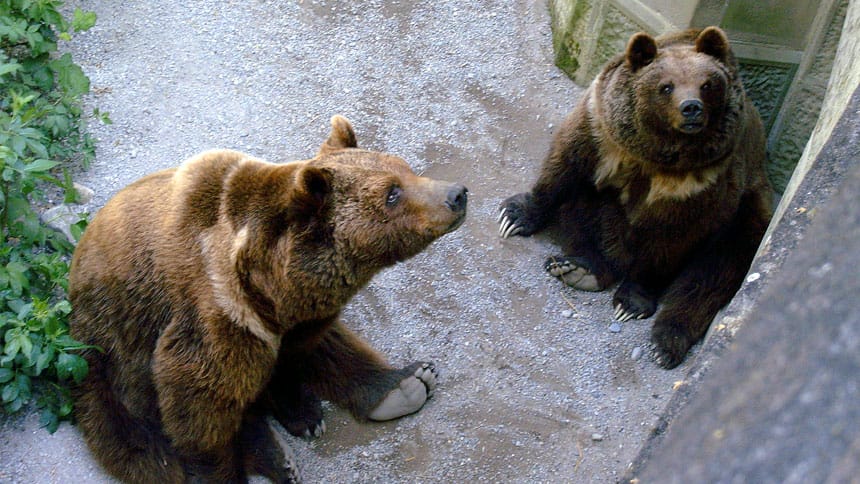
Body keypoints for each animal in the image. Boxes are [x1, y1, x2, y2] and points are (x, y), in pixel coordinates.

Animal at [69, 117, 466, 484]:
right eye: (392, 194)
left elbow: (300, 354)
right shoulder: (216, 315)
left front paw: (304, 411)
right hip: (109, 361)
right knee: (142, 444)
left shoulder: (305, 314)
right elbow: (200, 409)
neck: (269, 283)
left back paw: (406, 385)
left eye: (406, 168)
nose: (457, 193)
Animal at [498, 26, 772, 366]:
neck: (658, 159)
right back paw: (579, 269)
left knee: (717, 271)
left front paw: (632, 301)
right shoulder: (601, 132)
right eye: (666, 86)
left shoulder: (702, 188)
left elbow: (672, 244)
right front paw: (515, 216)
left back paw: (666, 341)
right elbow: (565, 165)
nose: (691, 107)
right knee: (587, 216)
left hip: (749, 210)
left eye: (707, 84)